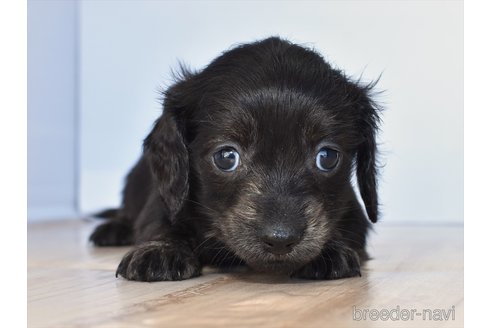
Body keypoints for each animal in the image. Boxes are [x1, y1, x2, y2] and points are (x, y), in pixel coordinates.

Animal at [90, 37, 382, 280]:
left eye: (327, 157)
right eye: (227, 157)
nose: (280, 238)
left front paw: (329, 251)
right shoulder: (164, 201)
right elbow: (159, 222)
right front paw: (160, 249)